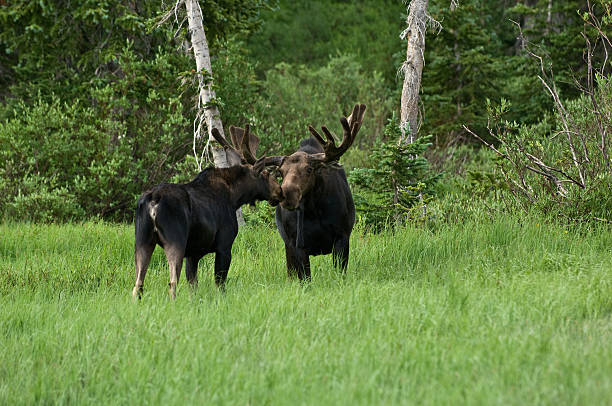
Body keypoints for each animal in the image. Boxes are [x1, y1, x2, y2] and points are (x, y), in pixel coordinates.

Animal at [134, 125, 282, 300]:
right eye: (266, 174)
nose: (280, 191)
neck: (235, 197)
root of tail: (153, 201)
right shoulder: (224, 245)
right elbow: (220, 283)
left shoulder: (192, 254)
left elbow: (193, 286)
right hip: (175, 241)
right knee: (172, 282)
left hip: (142, 240)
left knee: (138, 284)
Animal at [255, 103, 366, 280]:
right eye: (280, 172)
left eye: (309, 169)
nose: (287, 196)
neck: (315, 210)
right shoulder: (297, 244)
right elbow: (305, 279)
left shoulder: (342, 237)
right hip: (287, 246)